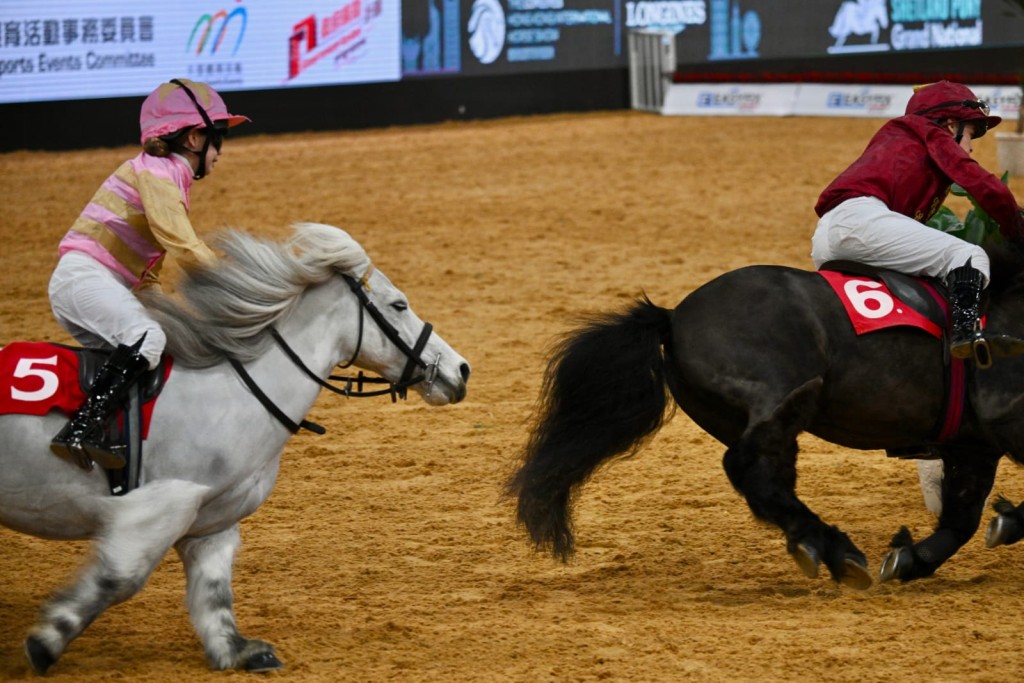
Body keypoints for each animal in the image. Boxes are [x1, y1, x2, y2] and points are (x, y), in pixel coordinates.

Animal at [0, 223, 468, 671]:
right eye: (399, 305)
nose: (461, 369)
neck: (231, 393)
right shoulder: (157, 507)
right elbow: (120, 578)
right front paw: (45, 642)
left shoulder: (212, 522)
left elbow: (213, 594)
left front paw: (237, 650)